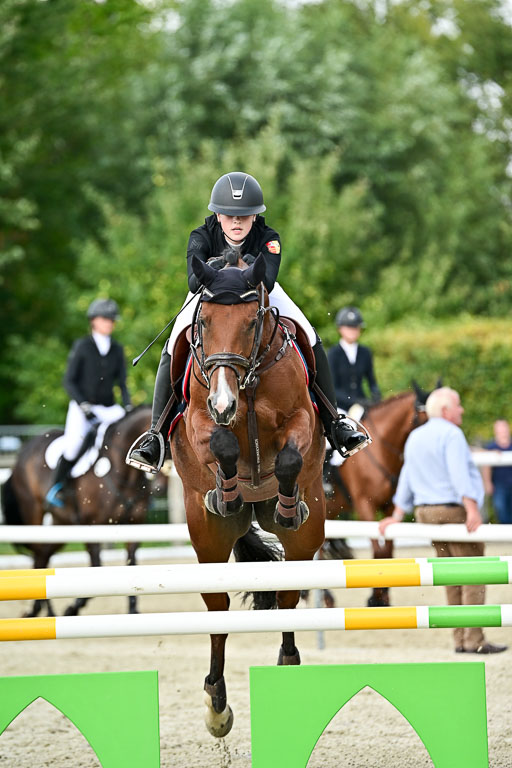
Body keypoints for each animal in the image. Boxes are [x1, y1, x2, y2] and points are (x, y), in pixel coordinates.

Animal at [1, 405, 153, 617]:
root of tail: (23, 451)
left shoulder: (134, 524)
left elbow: (132, 564)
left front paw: (133, 610)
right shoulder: (92, 524)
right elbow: (96, 566)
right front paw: (73, 607)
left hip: (61, 524)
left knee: (43, 556)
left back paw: (42, 610)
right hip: (35, 516)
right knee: (39, 557)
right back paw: (46, 611)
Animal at [171, 254, 325, 737]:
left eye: (251, 321)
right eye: (203, 321)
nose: (224, 403)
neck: (249, 381)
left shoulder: (301, 419)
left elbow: (290, 458)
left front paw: (289, 502)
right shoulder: (198, 420)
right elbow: (220, 443)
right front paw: (228, 491)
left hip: (306, 541)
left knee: (289, 599)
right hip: (208, 541)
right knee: (218, 610)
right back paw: (217, 703)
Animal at [323, 386, 429, 606]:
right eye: (421, 420)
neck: (382, 450)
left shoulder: (389, 506)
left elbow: (387, 552)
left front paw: (383, 598)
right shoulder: (365, 506)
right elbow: (378, 551)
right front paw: (375, 598)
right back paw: (325, 597)